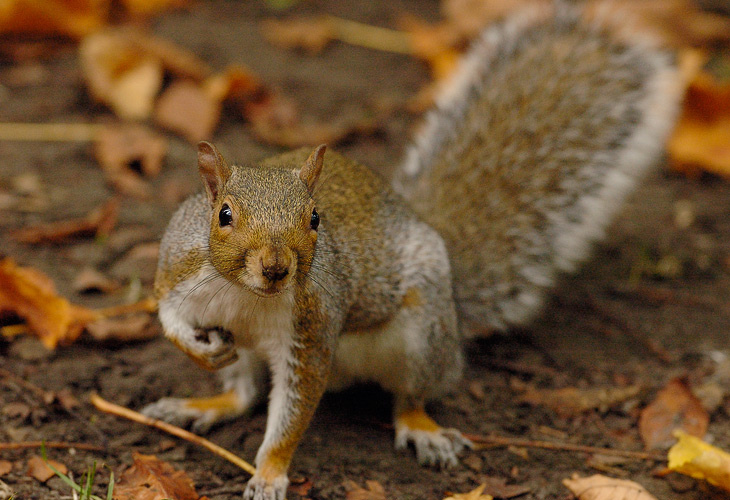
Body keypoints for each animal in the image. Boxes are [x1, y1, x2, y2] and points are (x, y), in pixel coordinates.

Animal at [142, 3, 682, 500]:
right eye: (223, 215)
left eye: (315, 219)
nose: (276, 268)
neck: (246, 296)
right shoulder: (178, 270)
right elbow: (168, 317)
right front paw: (195, 348)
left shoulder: (312, 331)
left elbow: (292, 413)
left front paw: (271, 473)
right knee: (244, 393)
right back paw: (198, 406)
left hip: (424, 333)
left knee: (411, 396)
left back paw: (423, 429)